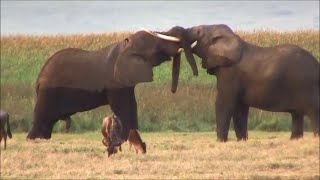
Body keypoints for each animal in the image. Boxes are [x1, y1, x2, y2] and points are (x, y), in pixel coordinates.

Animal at [26, 27, 198, 143]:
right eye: (156, 47)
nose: (173, 90)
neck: (125, 45)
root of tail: (39, 77)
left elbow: (131, 104)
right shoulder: (115, 83)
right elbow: (122, 106)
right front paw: (126, 139)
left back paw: (43, 138)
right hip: (49, 92)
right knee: (43, 114)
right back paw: (34, 139)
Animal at [169, 24, 318, 142]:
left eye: (199, 31)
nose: (195, 73)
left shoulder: (230, 73)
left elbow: (224, 103)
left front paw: (221, 141)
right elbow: (239, 109)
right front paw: (242, 141)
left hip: (307, 85)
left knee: (314, 112)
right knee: (297, 115)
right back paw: (295, 140)